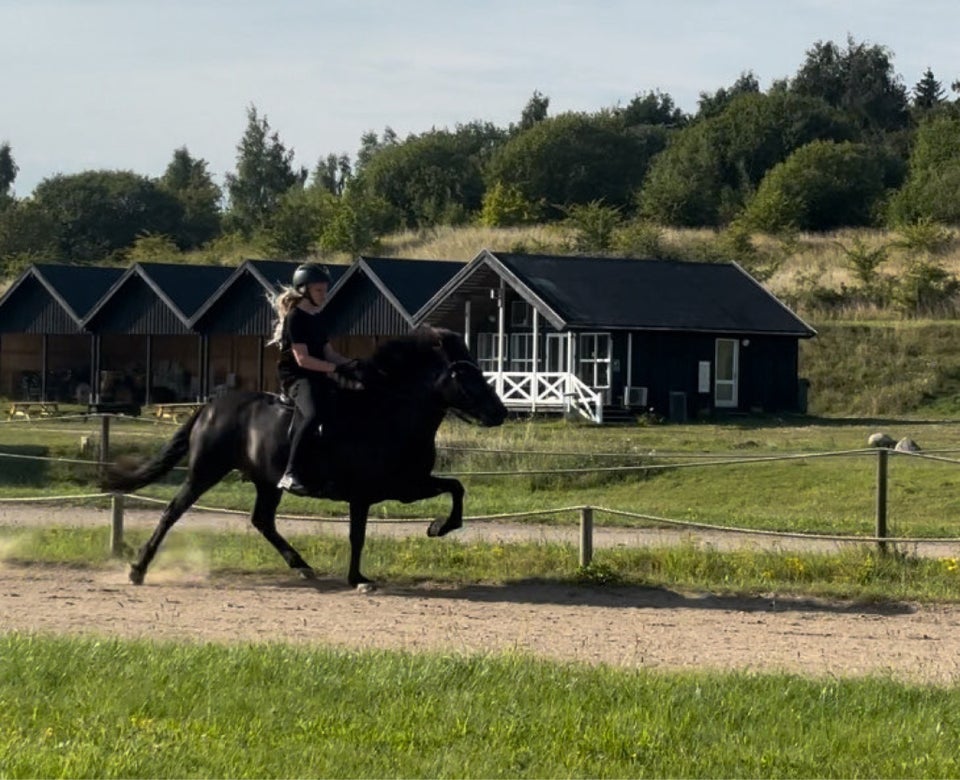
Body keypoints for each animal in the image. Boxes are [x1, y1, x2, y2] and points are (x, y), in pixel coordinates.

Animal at [103, 326, 510, 588]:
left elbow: (456, 489)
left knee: (262, 521)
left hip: (266, 482)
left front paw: (437, 528)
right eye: (463, 374)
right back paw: (137, 570)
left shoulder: (407, 486)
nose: (500, 412)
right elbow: (357, 536)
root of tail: (209, 407)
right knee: (172, 512)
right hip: (205, 471)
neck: (388, 413)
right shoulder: (370, 493)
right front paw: (358, 579)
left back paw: (302, 567)